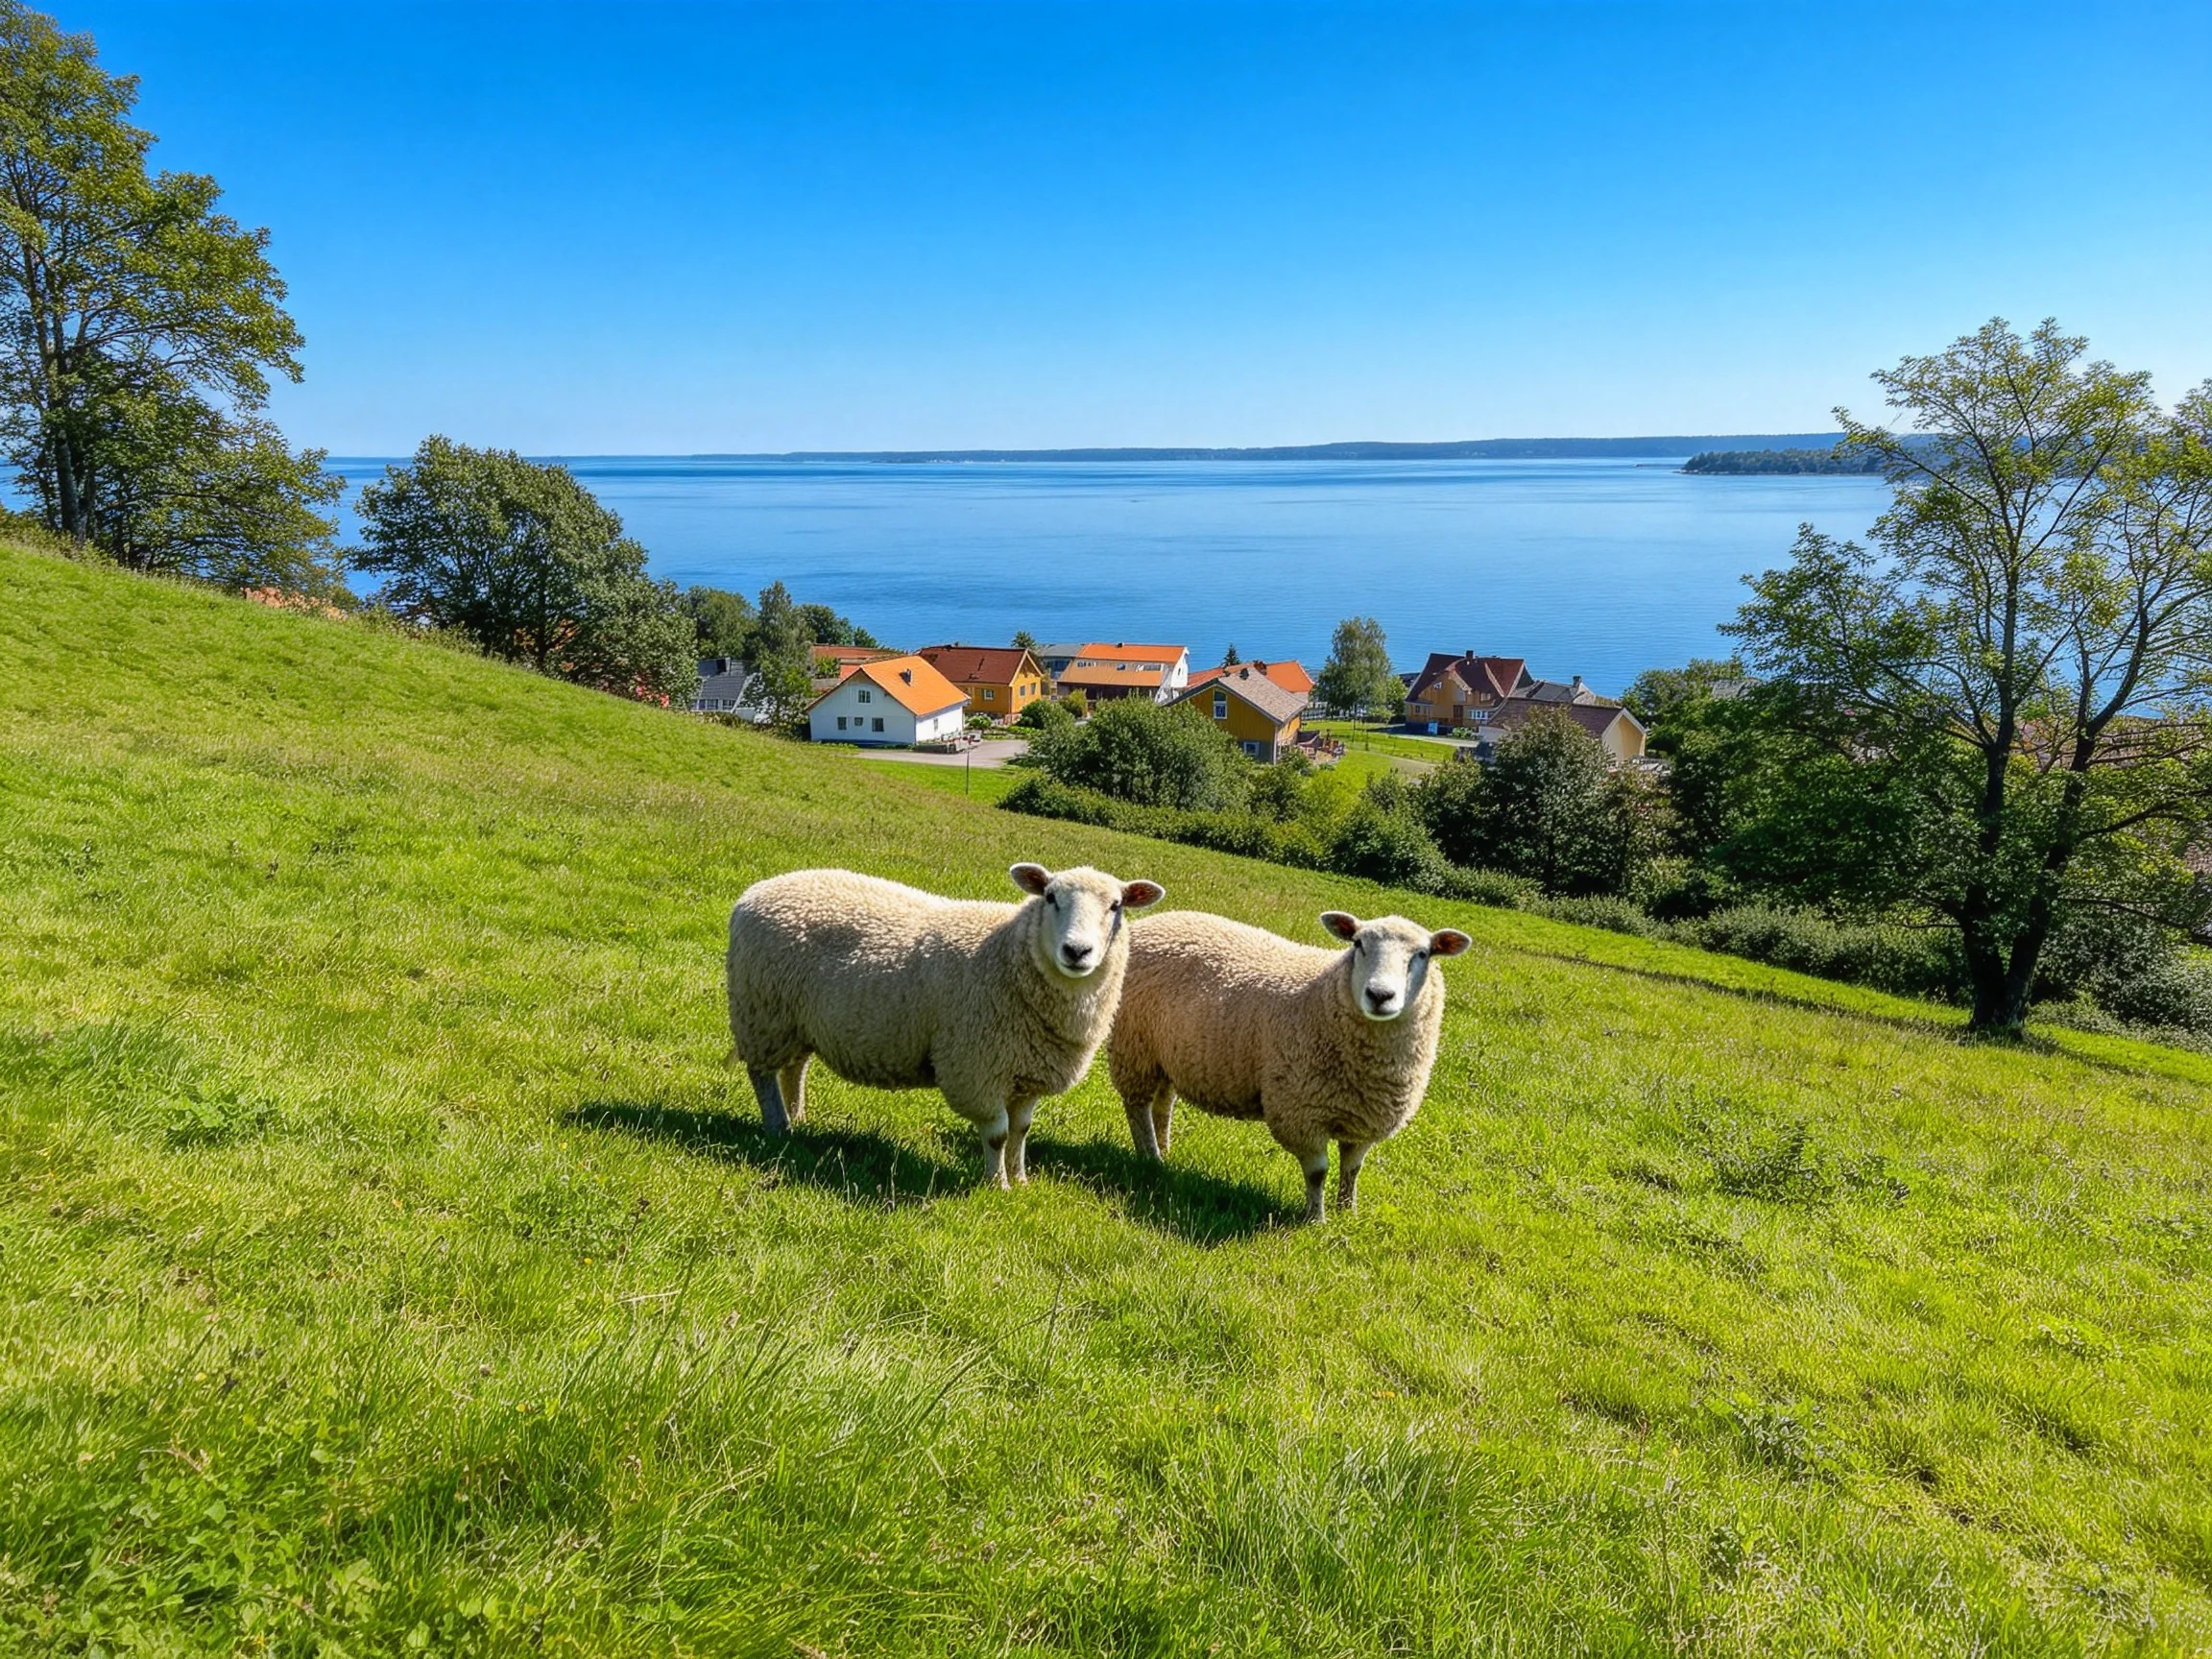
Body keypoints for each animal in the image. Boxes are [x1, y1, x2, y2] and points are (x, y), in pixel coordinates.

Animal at [725, 862, 1165, 1188]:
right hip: (762, 1013)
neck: (1007, 956)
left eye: (1116, 906)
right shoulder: (977, 1068)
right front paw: (996, 1185)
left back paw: (797, 1117)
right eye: (1050, 897)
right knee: (762, 1074)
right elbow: (998, 1133)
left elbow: (1021, 1131)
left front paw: (1020, 1180)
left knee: (794, 1068)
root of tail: (755, 892)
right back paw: (778, 1126)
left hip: (795, 1021)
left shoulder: (1030, 1073)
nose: (1077, 951)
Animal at [1108, 908, 1471, 1221]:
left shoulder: (1365, 1120)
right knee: (1137, 1106)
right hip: (1133, 1046)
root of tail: (1153, 921)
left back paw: (1164, 1150)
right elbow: (1318, 1172)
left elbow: (1352, 1169)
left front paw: (1347, 1212)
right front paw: (1316, 1219)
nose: (1380, 995)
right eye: (1358, 944)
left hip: (1165, 1053)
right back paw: (1150, 1157)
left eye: (1423, 954)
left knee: (1163, 1103)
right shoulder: (1299, 1111)